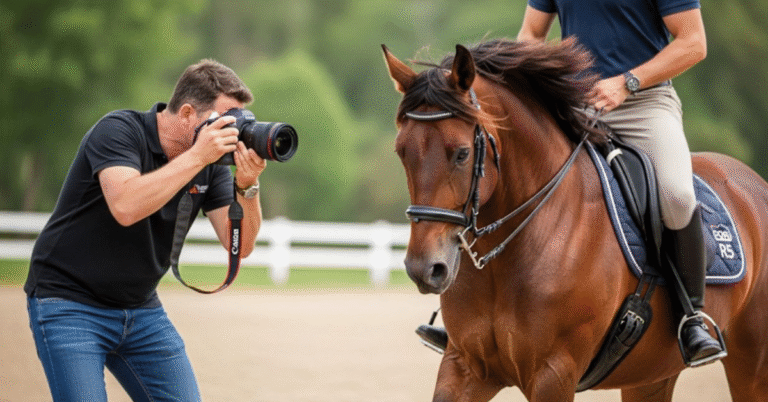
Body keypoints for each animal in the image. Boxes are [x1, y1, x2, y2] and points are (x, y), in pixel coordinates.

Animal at [382, 38, 768, 401]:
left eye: (462, 154)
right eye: (401, 151)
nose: (424, 269)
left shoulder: (553, 372)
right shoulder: (465, 366)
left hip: (751, 365)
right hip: (652, 374)